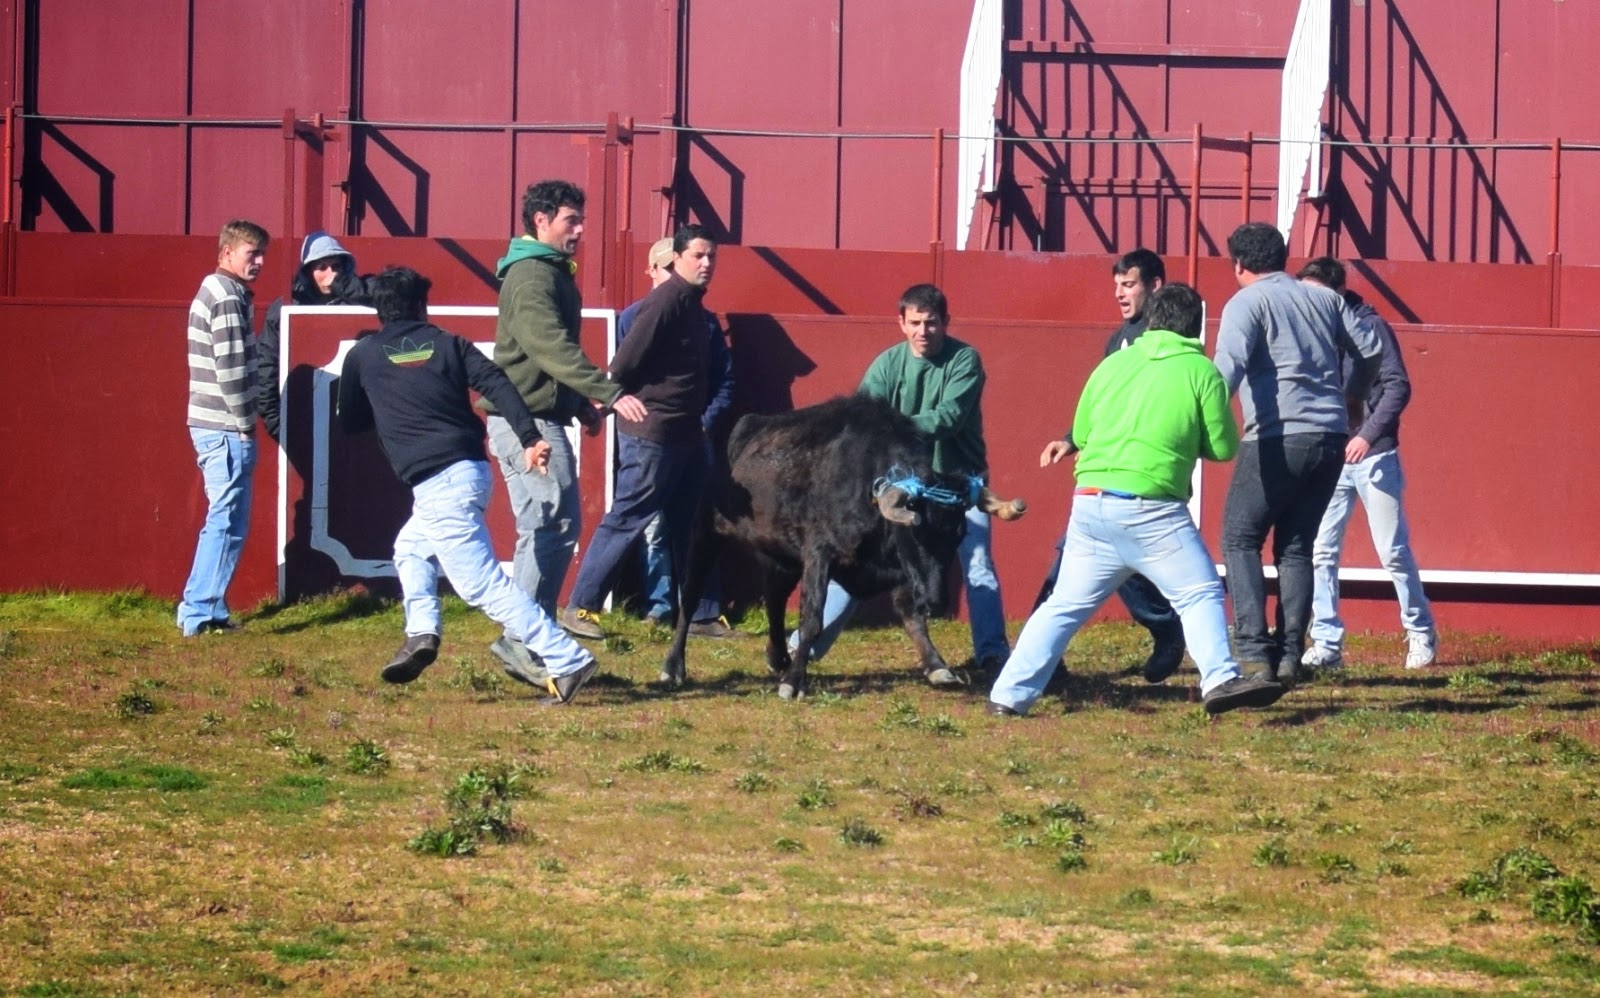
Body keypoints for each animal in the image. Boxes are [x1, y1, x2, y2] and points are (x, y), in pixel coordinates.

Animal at [658, 394, 1025, 699]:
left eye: (958, 534)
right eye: (914, 532)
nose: (936, 601)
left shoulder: (904, 574)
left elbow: (911, 617)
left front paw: (937, 666)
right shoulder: (820, 555)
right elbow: (812, 618)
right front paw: (794, 683)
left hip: (781, 558)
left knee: (774, 600)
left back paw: (778, 658)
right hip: (705, 531)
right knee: (690, 598)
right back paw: (673, 667)